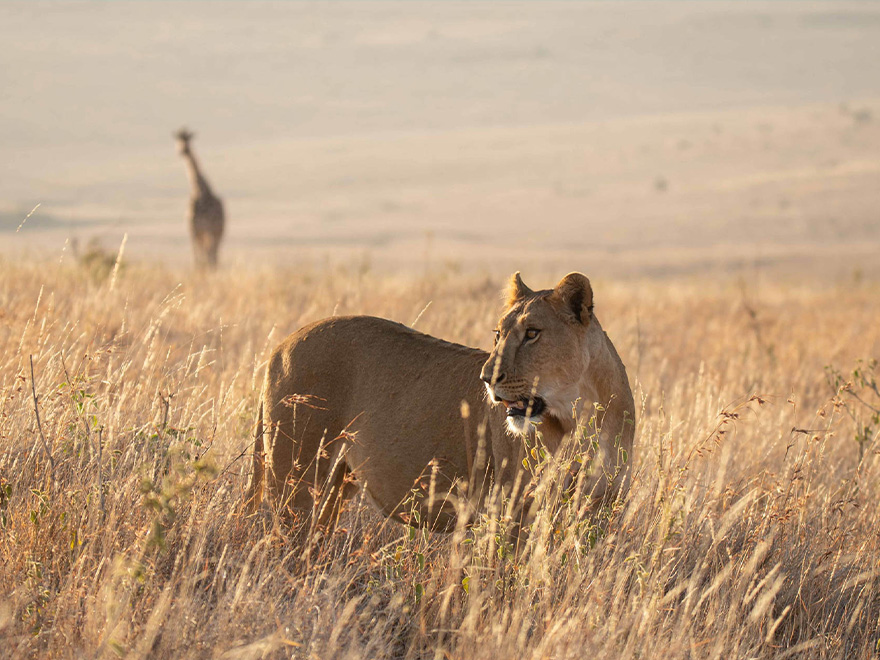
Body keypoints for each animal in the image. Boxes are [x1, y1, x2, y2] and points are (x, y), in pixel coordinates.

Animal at [173, 129, 223, 268]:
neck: (200, 192)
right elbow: (196, 255)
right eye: (178, 139)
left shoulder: (207, 229)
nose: (183, 150)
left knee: (213, 252)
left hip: (217, 231)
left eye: (188, 139)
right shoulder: (193, 229)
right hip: (203, 233)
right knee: (207, 252)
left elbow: (206, 254)